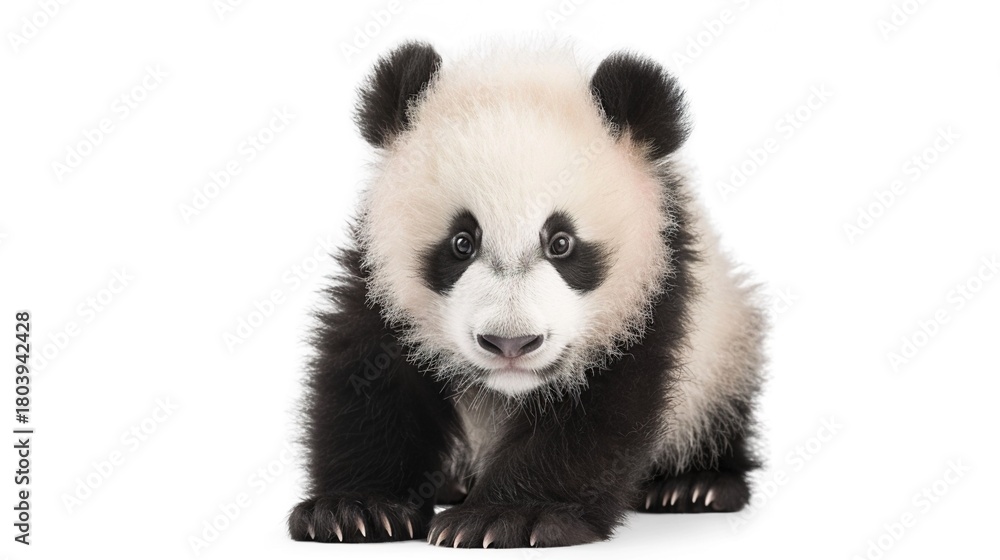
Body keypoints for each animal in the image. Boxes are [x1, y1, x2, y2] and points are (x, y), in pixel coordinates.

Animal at [289, 40, 766, 548]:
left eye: (561, 243)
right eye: (462, 242)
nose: (510, 343)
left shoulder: (655, 285)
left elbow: (597, 414)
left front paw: (508, 516)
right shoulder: (380, 279)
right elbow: (368, 376)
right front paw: (354, 509)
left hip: (722, 351)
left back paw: (694, 485)